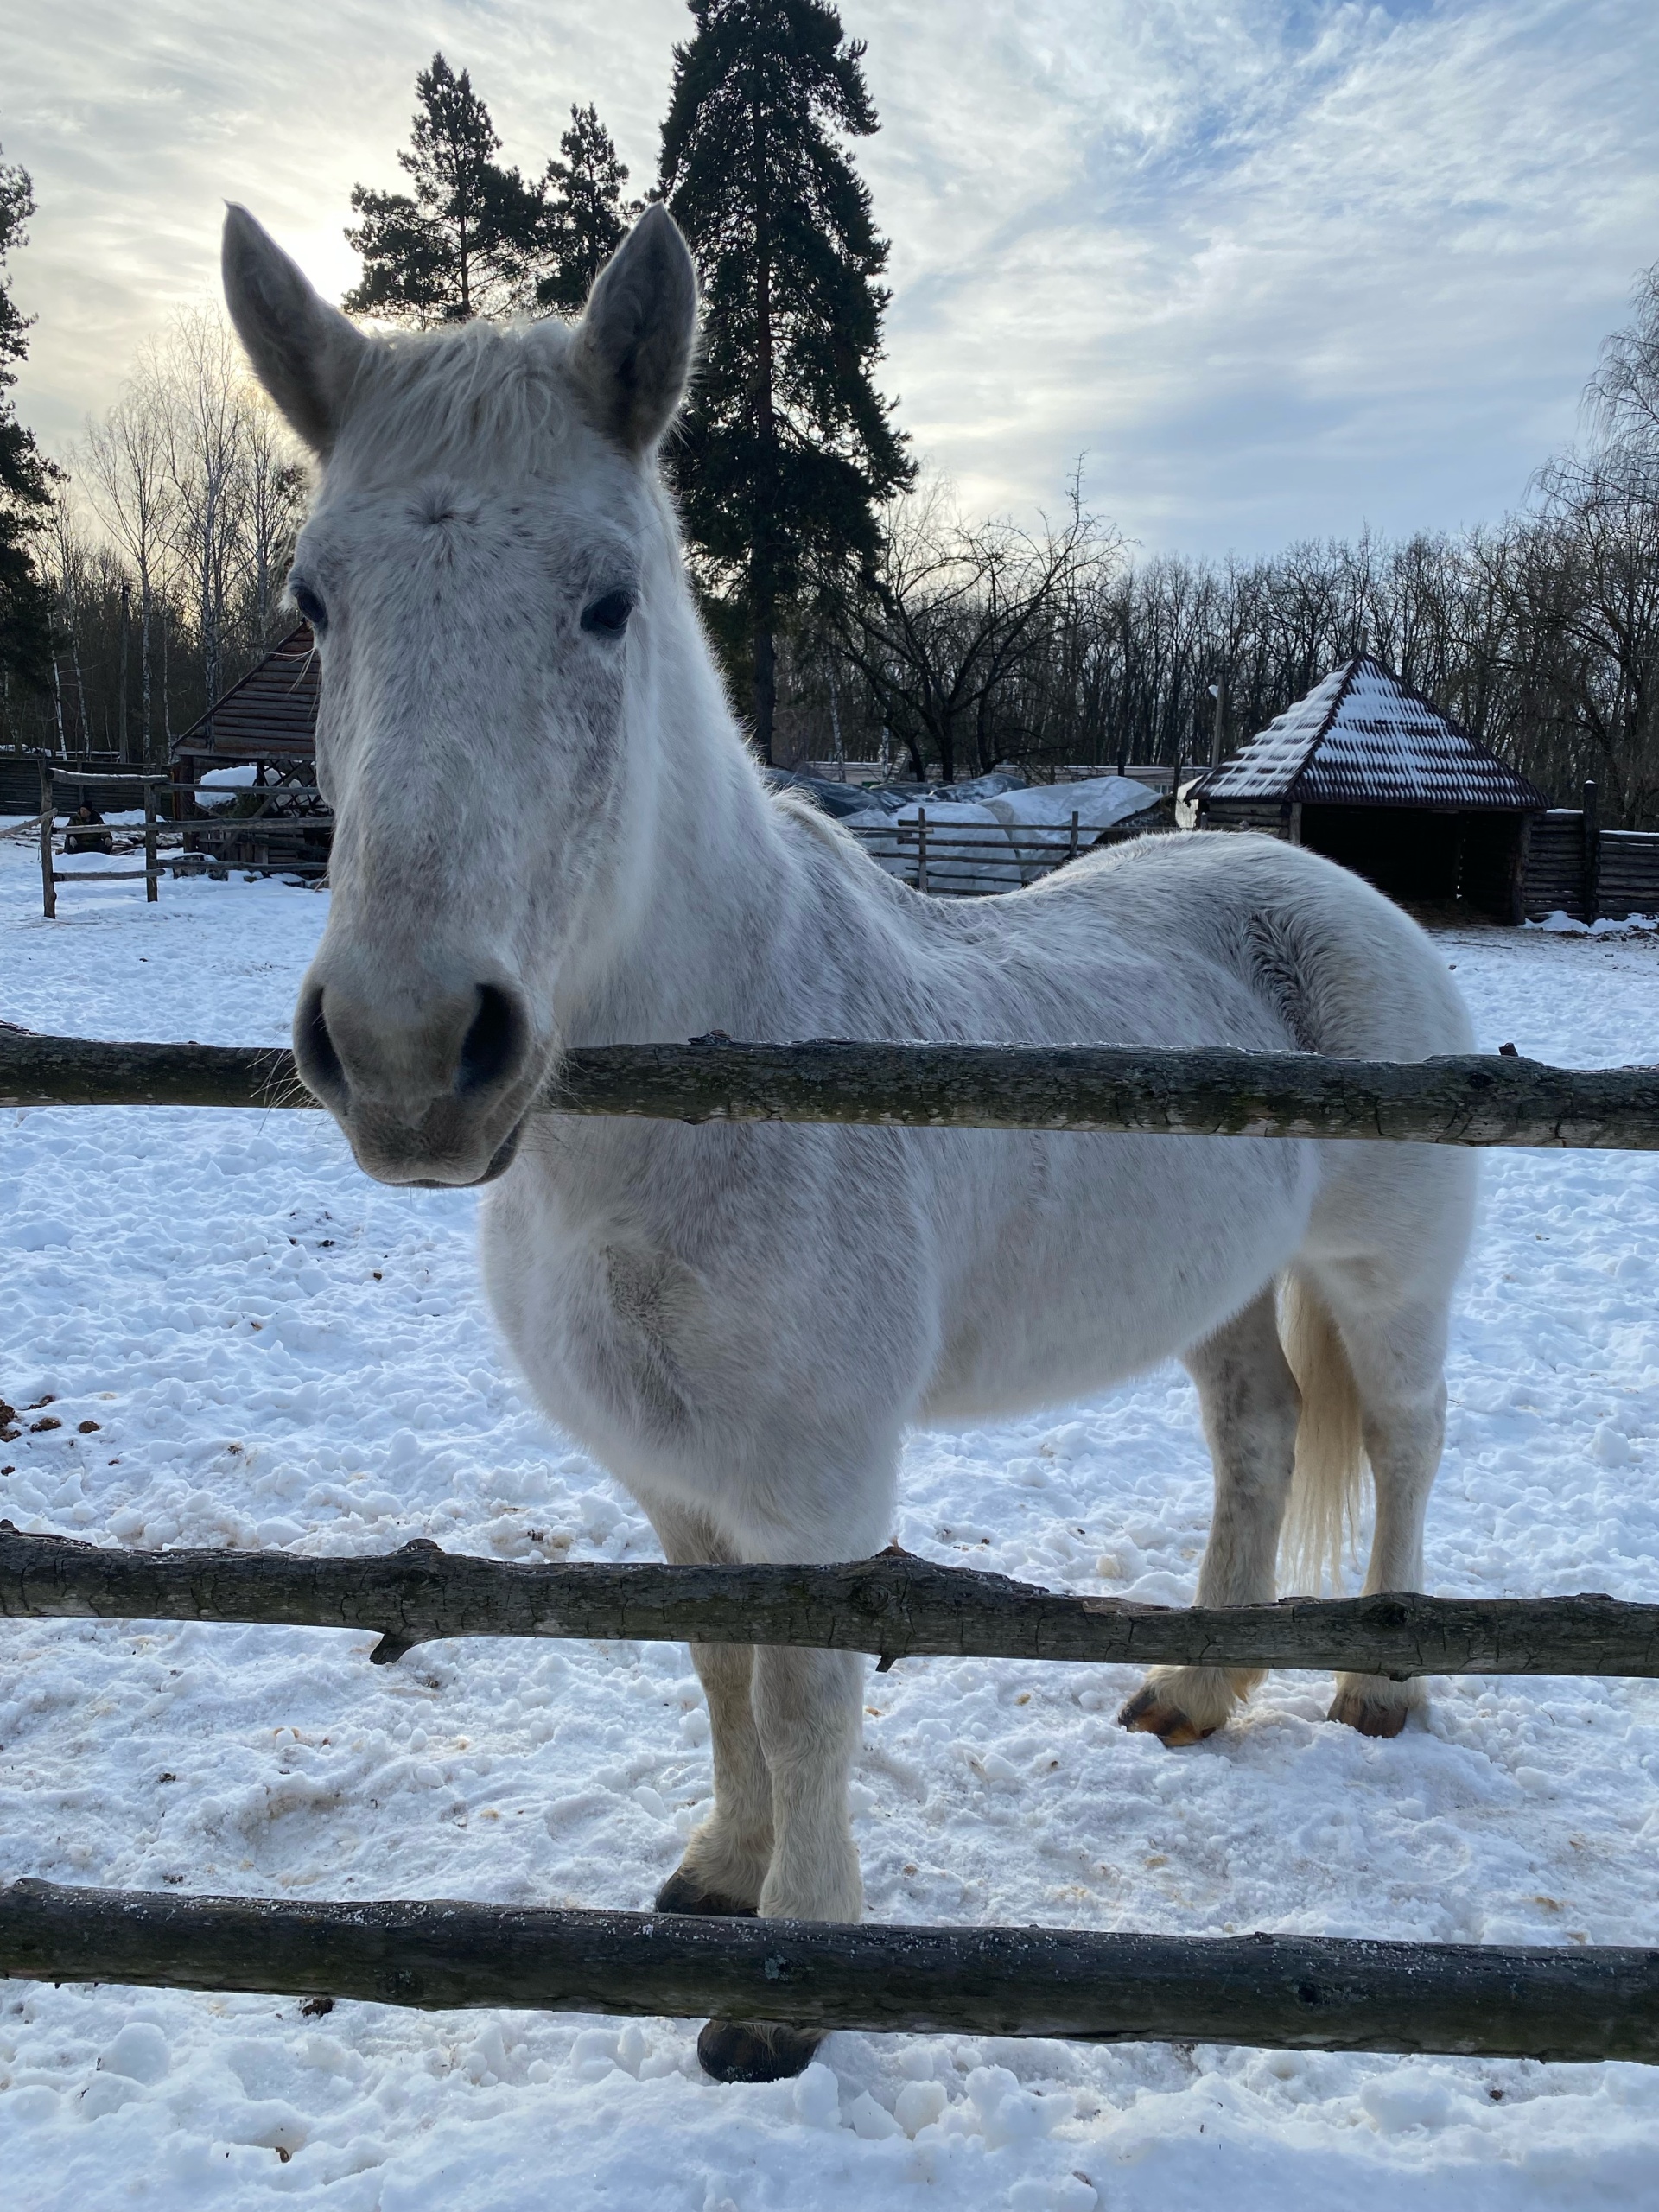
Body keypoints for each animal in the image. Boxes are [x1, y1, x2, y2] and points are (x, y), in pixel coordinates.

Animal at [224, 199, 1478, 2079]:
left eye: (609, 602)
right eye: (316, 604)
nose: (408, 1051)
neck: (693, 1112)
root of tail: (1324, 881)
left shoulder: (811, 1482)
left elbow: (806, 1692)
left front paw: (788, 1981)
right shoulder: (674, 1478)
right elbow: (721, 1673)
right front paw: (718, 1873)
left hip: (1383, 1276)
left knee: (1399, 1440)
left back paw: (1384, 1684)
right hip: (1220, 1288)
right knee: (1259, 1439)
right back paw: (1193, 1692)